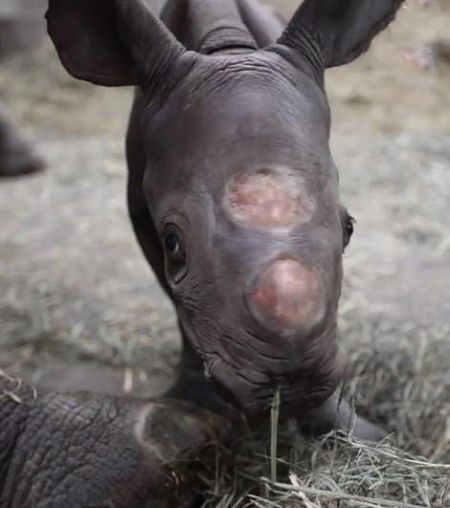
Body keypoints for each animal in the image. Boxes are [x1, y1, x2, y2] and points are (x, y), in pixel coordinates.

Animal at [48, 0, 404, 436]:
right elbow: (176, 301)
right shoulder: (140, 205)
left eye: (349, 229)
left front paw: (350, 428)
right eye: (172, 244)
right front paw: (194, 401)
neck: (229, 51)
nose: (293, 385)